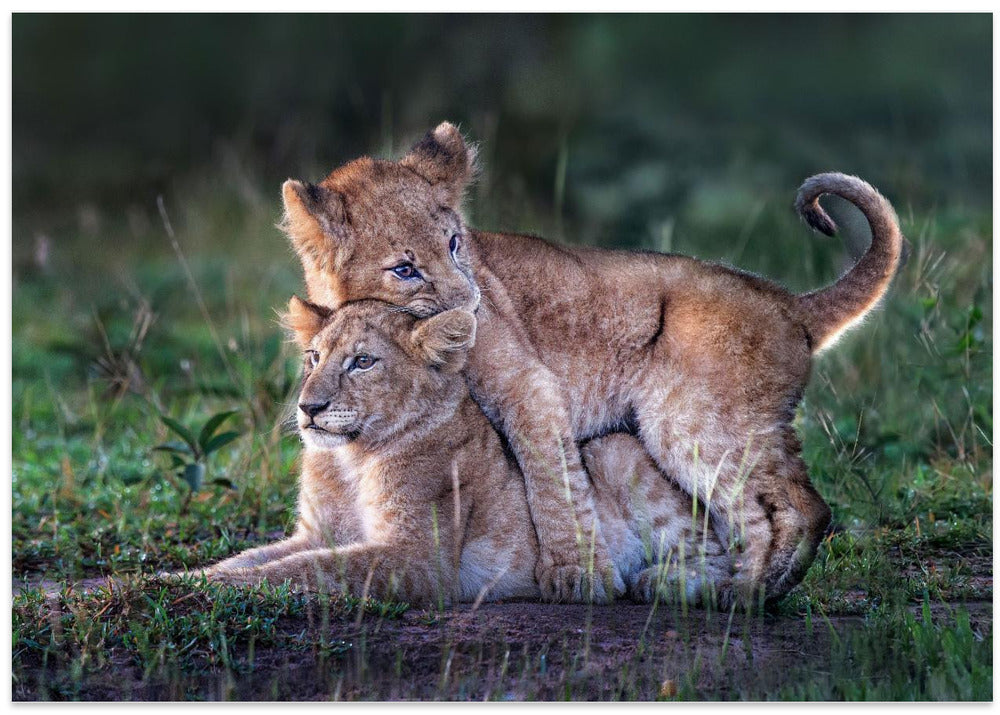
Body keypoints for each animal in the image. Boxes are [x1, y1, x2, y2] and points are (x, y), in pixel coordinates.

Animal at [201, 298, 729, 606]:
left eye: (363, 362)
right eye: (313, 357)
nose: (309, 407)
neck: (350, 458)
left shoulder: (417, 559)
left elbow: (310, 569)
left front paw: (218, 588)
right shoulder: (316, 532)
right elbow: (255, 558)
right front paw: (191, 577)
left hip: (614, 449)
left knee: (719, 555)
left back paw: (661, 582)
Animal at [278, 122, 908, 605]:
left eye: (456, 244)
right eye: (404, 269)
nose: (472, 305)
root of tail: (789, 302)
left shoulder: (528, 385)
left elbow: (551, 478)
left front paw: (576, 575)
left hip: (692, 423)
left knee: (798, 509)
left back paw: (743, 593)